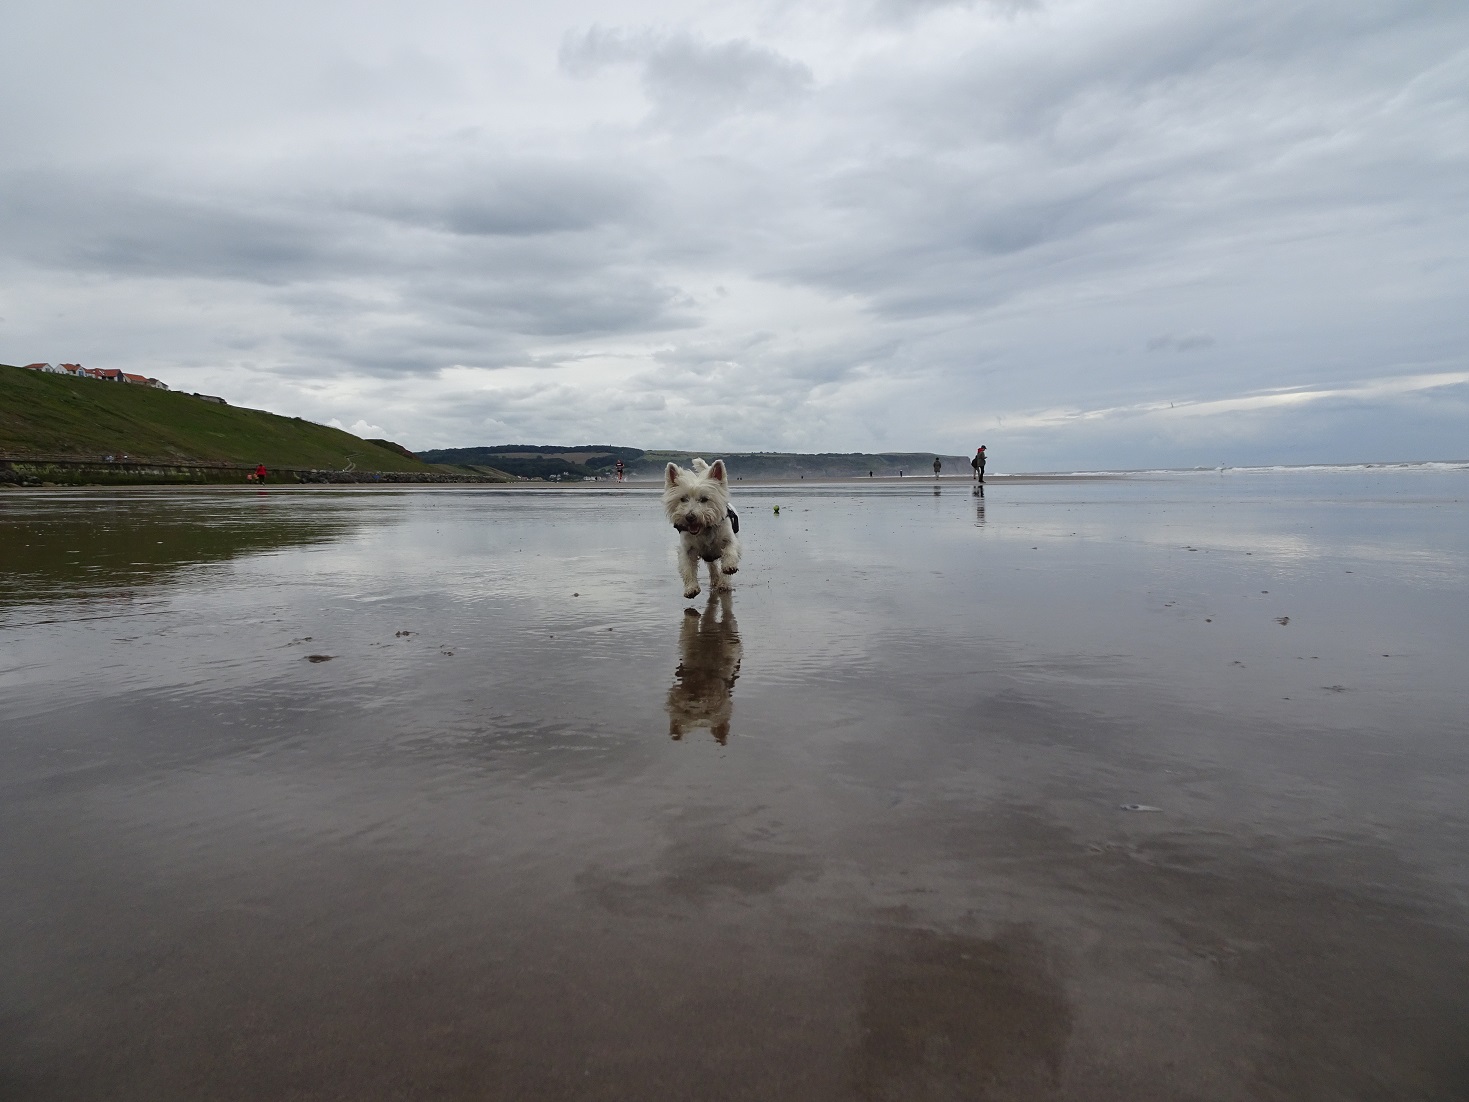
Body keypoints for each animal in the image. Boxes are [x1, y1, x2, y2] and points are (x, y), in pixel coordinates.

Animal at [663, 458, 740, 599]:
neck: (705, 529)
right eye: (683, 499)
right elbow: (688, 568)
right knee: (712, 566)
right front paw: (691, 589)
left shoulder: (729, 539)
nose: (689, 517)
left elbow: (730, 551)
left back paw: (723, 584)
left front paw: (729, 566)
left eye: (704, 499)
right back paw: (715, 580)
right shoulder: (687, 549)